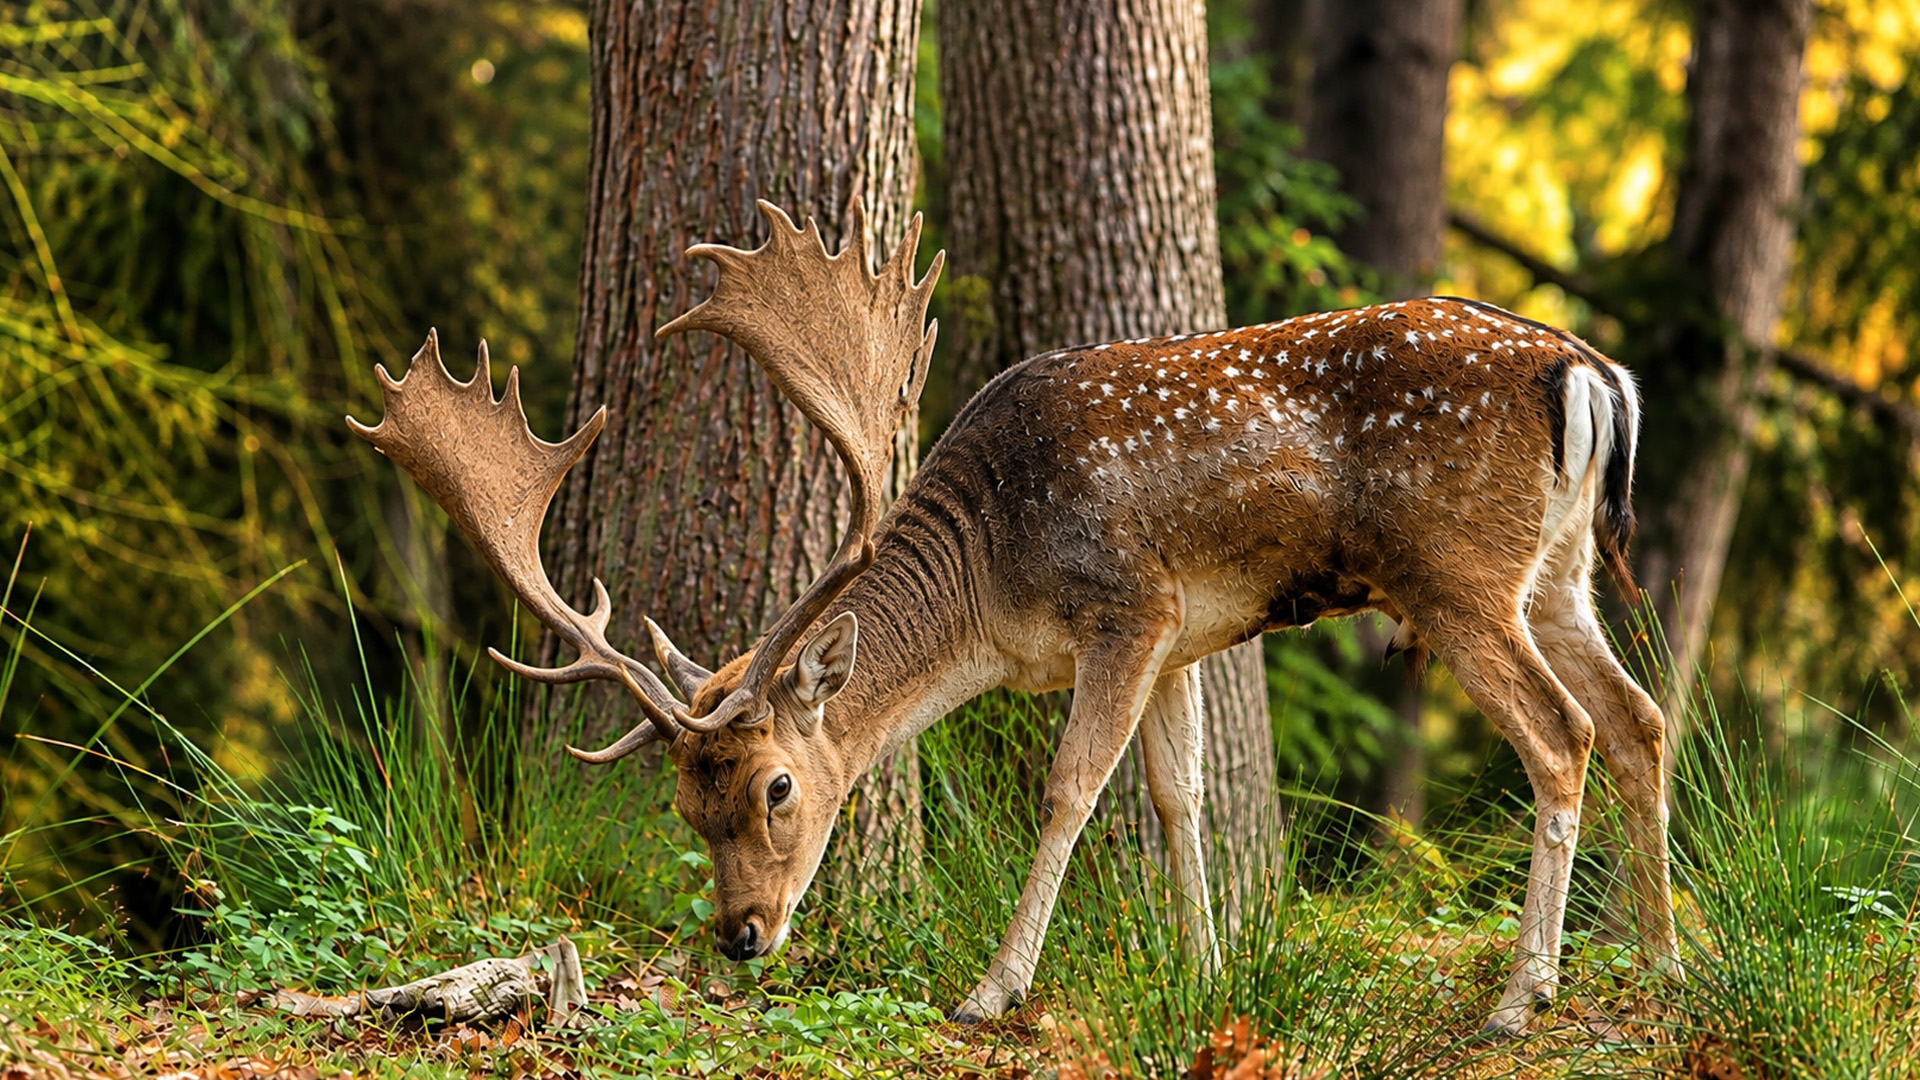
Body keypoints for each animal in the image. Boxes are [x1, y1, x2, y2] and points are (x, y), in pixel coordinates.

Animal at [347, 200, 1680, 1035]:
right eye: (682, 802)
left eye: (776, 787)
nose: (741, 934)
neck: (993, 591)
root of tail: (1591, 374)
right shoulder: (1188, 631)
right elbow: (1178, 796)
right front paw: (1206, 972)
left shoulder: (1129, 603)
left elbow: (1072, 789)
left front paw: (993, 991)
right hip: (1557, 571)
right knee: (1641, 718)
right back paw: (1663, 958)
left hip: (1455, 572)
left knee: (1563, 734)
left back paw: (1522, 996)